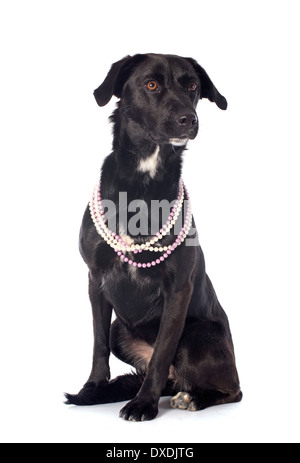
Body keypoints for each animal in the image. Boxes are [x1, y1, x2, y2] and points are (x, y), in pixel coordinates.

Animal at [65, 53, 241, 420]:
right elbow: (98, 343)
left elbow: (161, 353)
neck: (142, 185)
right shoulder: (95, 279)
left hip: (196, 336)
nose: (188, 119)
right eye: (151, 84)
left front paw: (144, 403)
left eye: (192, 86)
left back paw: (192, 398)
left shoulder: (178, 289)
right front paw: (94, 387)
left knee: (232, 389)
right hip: (121, 330)